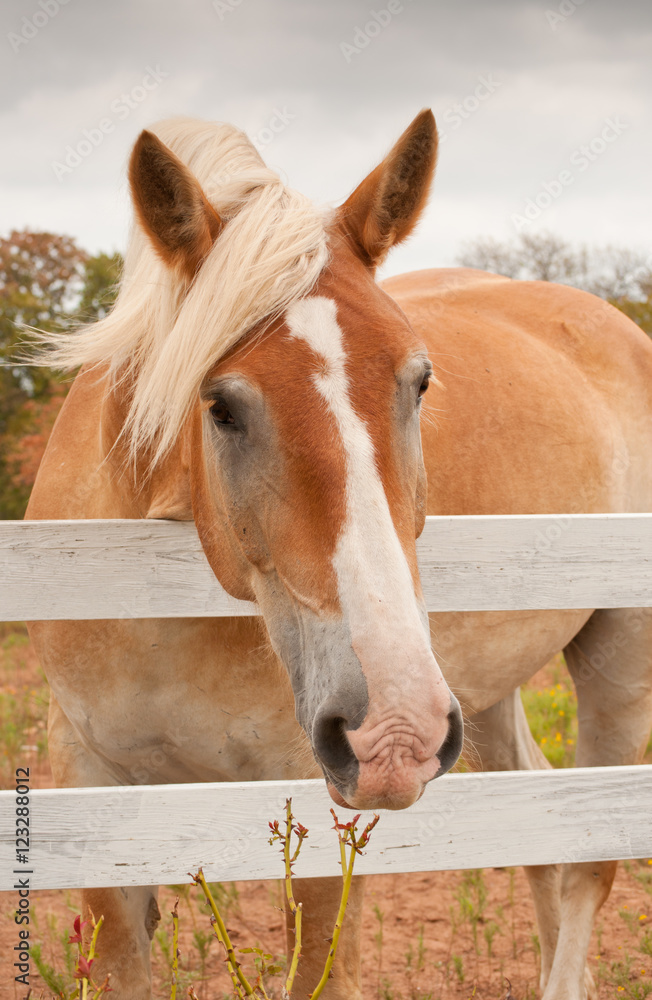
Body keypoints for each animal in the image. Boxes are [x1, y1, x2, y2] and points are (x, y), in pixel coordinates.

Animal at [26, 110, 652, 1000]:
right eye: (221, 405)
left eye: (419, 381)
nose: (392, 729)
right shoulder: (93, 793)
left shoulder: (319, 810)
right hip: (483, 691)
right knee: (536, 826)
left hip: (614, 652)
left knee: (590, 859)